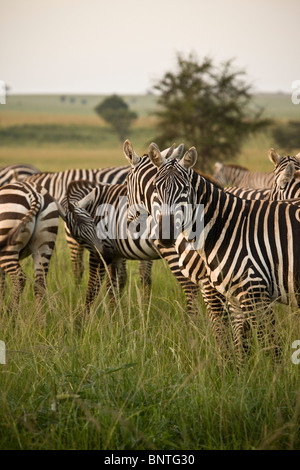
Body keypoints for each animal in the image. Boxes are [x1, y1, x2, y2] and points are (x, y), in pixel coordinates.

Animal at [57, 176, 200, 312]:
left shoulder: (100, 253)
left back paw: (190, 320)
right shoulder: (115, 255)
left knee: (191, 287)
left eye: (94, 224)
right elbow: (113, 285)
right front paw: (115, 314)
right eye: (79, 238)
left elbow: (93, 287)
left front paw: (84, 318)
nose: (106, 256)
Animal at [148, 144, 300, 364]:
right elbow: (240, 344)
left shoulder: (254, 292)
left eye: (185, 189)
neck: (228, 228)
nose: (165, 234)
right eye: (155, 188)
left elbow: (270, 347)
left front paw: (272, 375)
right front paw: (238, 372)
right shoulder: (235, 298)